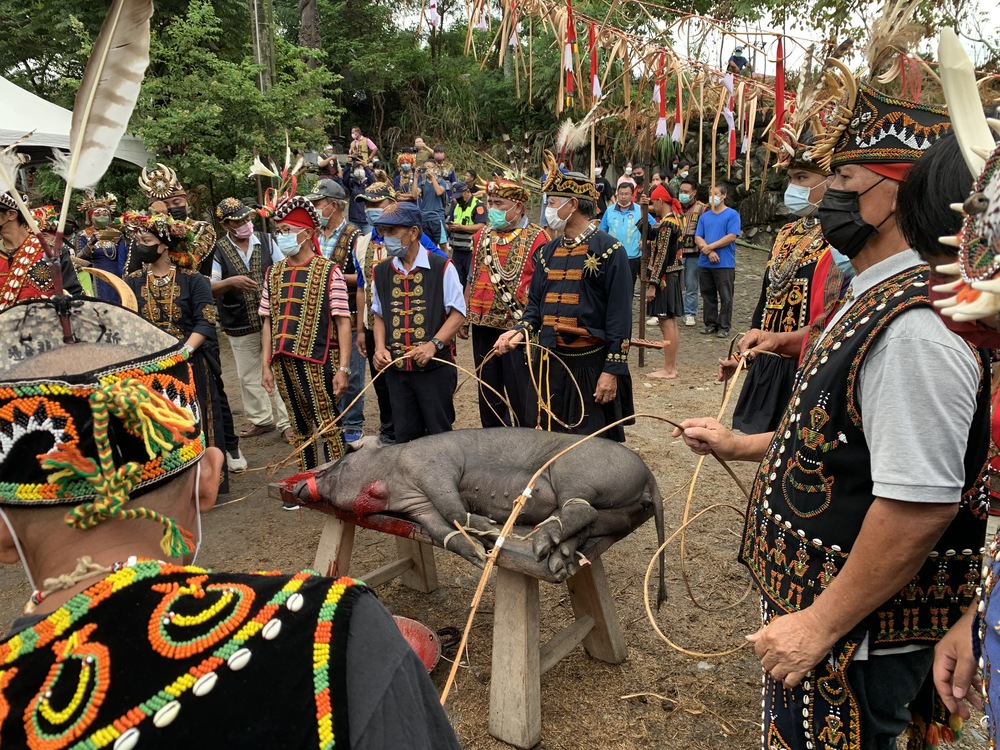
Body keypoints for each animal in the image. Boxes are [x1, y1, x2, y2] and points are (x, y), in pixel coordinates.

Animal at [292, 426, 668, 608]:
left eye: (340, 462)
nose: (298, 488)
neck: (394, 478)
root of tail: (649, 475)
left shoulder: (434, 468)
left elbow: (453, 507)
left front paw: (488, 533)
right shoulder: (418, 508)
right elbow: (442, 529)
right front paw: (476, 554)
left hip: (574, 473)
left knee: (580, 508)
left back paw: (539, 545)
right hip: (619, 514)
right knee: (589, 521)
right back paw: (557, 558)